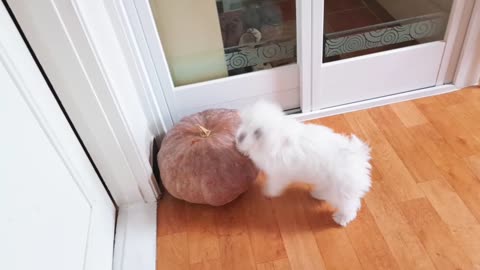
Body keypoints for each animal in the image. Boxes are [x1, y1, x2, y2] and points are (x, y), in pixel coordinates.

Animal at [235, 100, 372, 227]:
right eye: (244, 122)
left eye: (257, 132)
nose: (240, 137)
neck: (278, 137)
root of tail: (359, 156)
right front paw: (243, 150)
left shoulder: (279, 173)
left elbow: (274, 183)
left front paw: (269, 192)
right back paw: (318, 194)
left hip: (342, 188)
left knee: (349, 204)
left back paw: (342, 218)